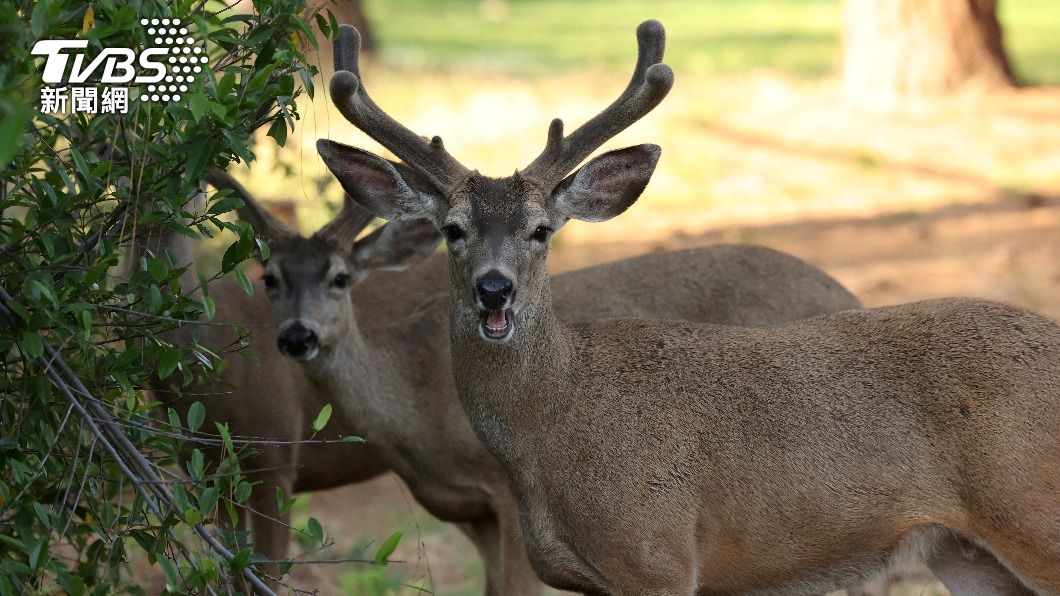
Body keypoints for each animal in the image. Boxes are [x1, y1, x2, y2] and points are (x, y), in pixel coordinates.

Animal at [316, 18, 1056, 596]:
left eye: (541, 230)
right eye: (453, 229)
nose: (494, 289)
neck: (549, 434)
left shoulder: (658, 555)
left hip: (1036, 516)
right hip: (966, 551)